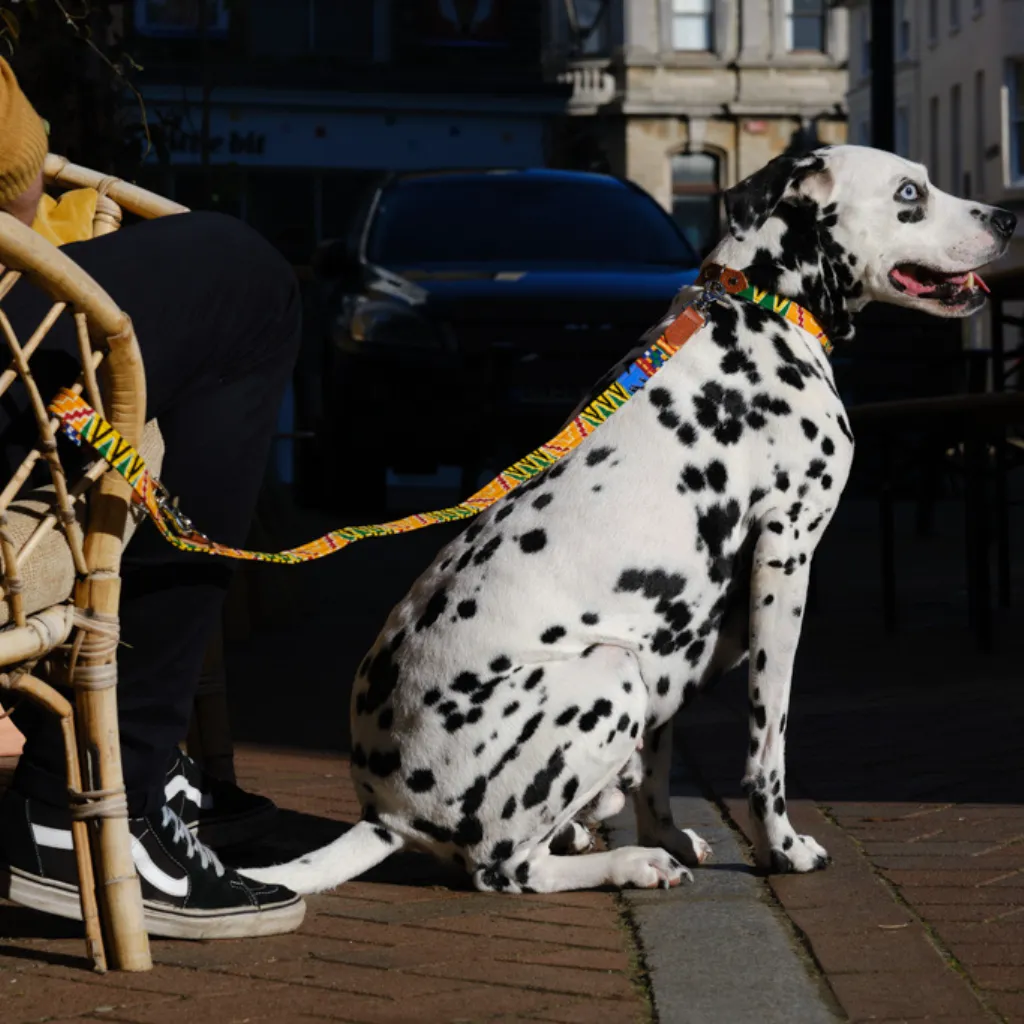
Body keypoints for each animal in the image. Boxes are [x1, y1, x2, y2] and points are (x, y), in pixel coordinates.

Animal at [251, 146, 1019, 897]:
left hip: (649, 660)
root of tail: (387, 815)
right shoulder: (785, 559)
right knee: (505, 870)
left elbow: (660, 762)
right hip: (610, 676)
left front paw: (668, 832)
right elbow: (769, 739)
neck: (763, 308)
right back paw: (628, 863)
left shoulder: (680, 637)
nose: (1008, 220)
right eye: (909, 194)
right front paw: (782, 847)